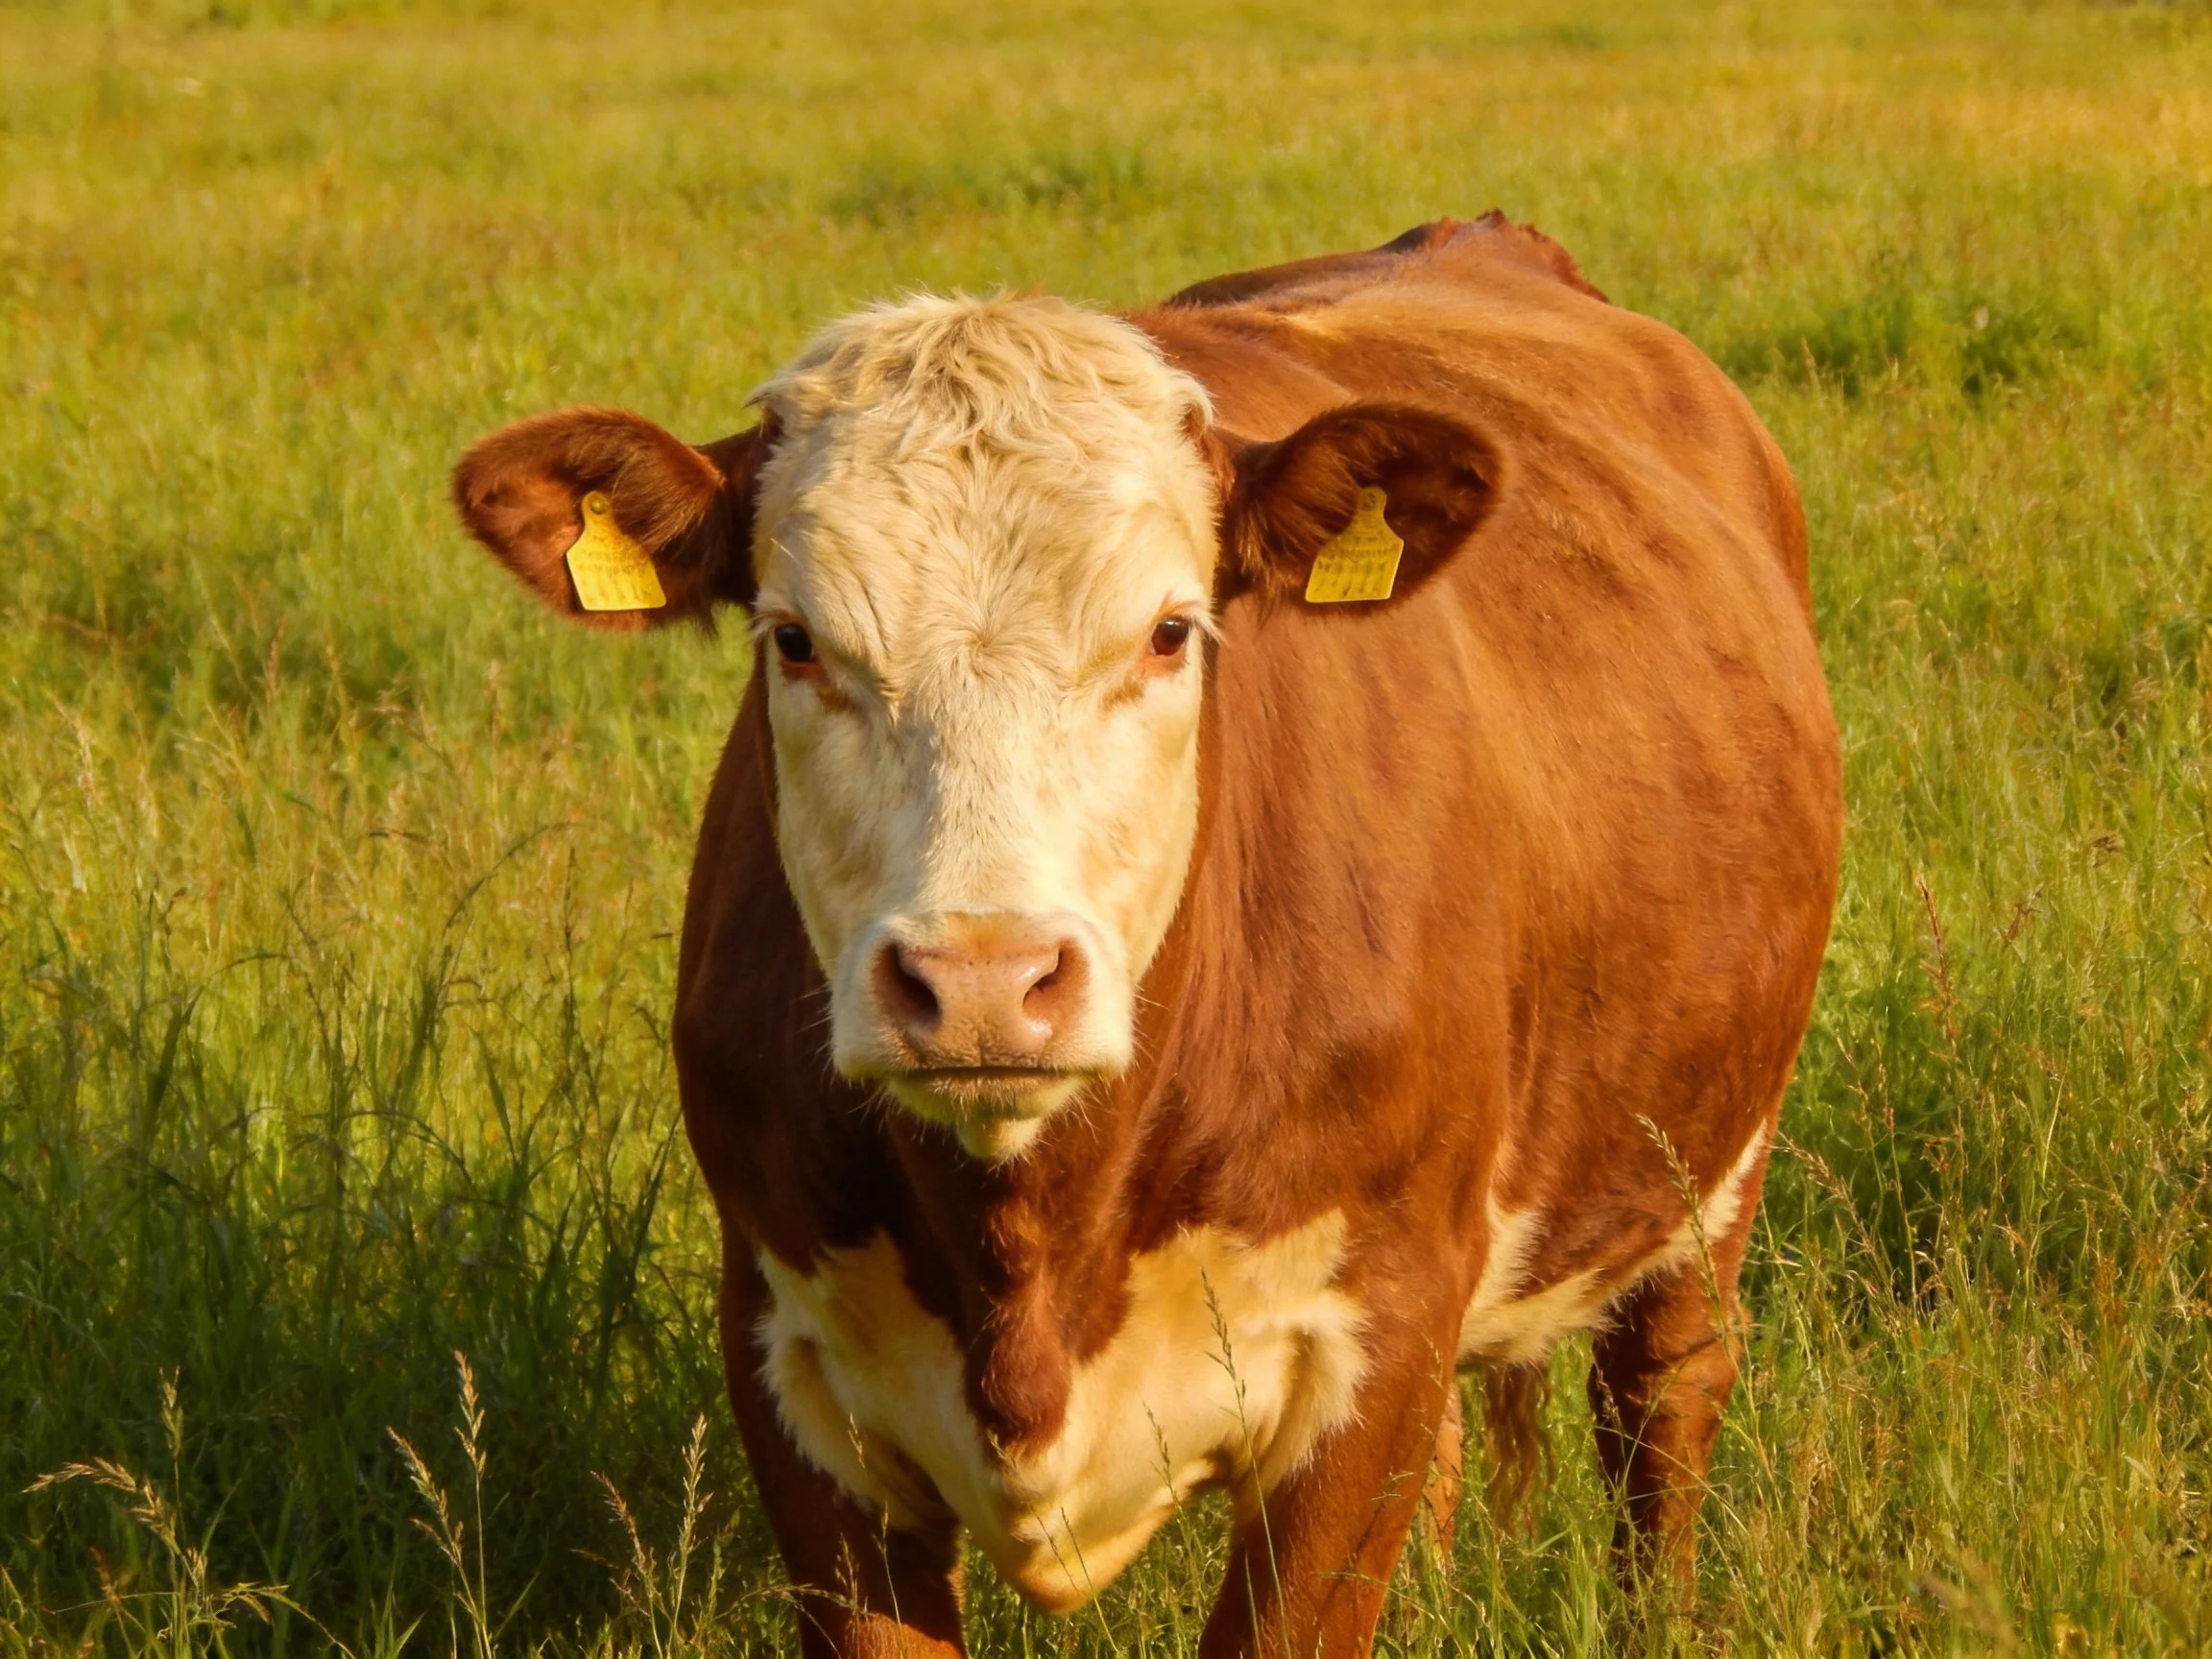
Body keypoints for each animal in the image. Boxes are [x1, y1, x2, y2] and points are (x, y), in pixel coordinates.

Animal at [452, 214, 1841, 1657]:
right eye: (794, 641)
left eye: (1172, 632)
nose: (983, 980)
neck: (1030, 1250)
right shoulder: (791, 1364)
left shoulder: (1373, 1352)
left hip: (1712, 1154)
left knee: (1660, 1402)